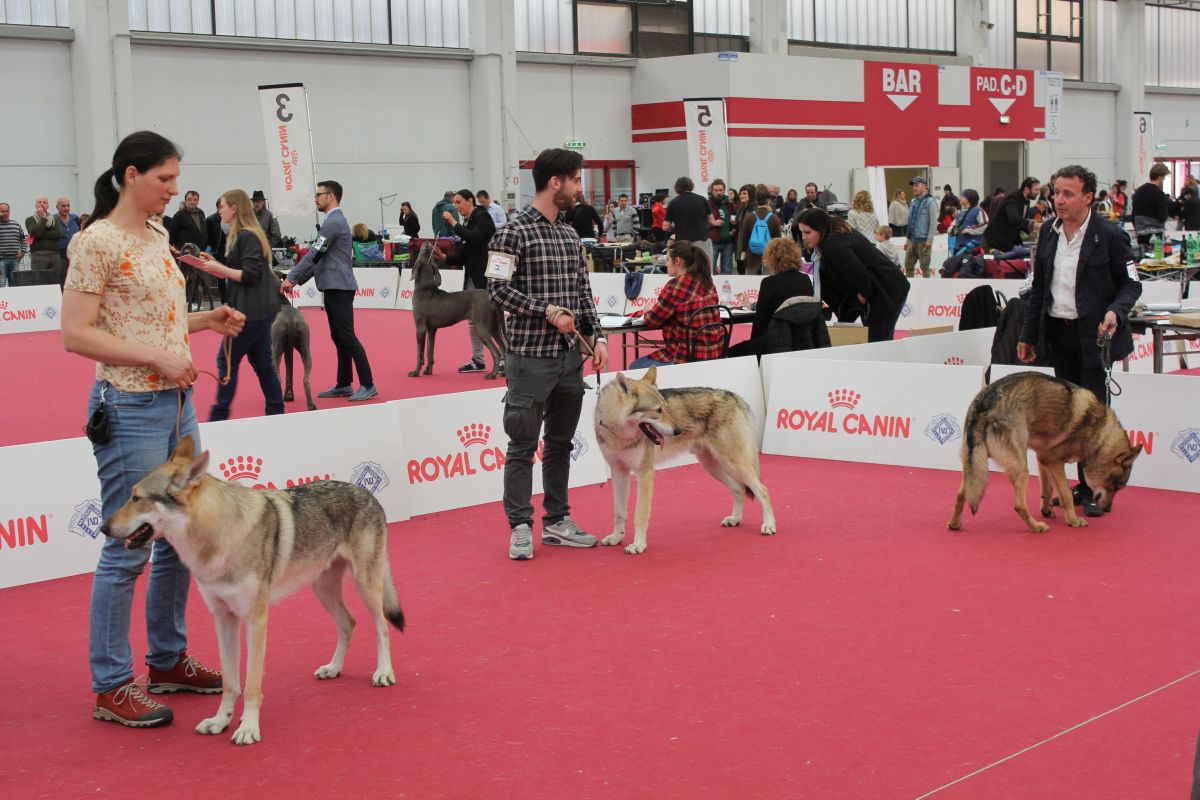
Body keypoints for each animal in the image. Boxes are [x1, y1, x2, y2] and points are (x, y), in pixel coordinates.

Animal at [99, 434, 408, 748]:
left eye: (137, 498)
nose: (103, 528)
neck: (217, 536)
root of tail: (366, 490)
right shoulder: (224, 619)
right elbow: (229, 683)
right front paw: (220, 721)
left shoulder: (256, 620)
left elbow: (251, 685)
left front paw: (248, 728)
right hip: (323, 589)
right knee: (349, 623)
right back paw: (333, 668)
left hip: (365, 585)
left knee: (381, 626)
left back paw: (384, 672)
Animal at [410, 242, 508, 381]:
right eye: (428, 253)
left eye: (422, 251)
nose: (427, 243)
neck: (425, 288)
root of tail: (492, 297)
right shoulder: (432, 329)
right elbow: (430, 351)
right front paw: (428, 370)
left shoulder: (420, 328)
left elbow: (420, 352)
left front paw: (415, 372)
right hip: (495, 327)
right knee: (504, 348)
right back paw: (504, 373)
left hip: (482, 326)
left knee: (496, 352)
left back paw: (492, 375)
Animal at [592, 367, 777, 554]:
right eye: (658, 411)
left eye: (665, 408)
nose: (678, 430)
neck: (618, 433)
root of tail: (735, 396)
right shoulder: (619, 472)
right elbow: (619, 512)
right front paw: (617, 538)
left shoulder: (645, 473)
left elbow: (639, 514)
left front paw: (638, 545)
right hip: (712, 466)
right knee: (739, 489)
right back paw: (735, 519)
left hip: (734, 463)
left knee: (763, 490)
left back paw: (768, 525)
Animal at [945, 371, 1142, 534]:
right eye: (1114, 487)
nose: (1107, 510)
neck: (1101, 437)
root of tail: (984, 406)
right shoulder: (1053, 461)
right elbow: (1066, 494)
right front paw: (1074, 521)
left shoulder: (1043, 458)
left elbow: (1047, 489)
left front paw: (1047, 510)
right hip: (1021, 468)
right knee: (1019, 505)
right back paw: (1036, 527)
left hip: (975, 465)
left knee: (961, 494)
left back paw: (954, 524)